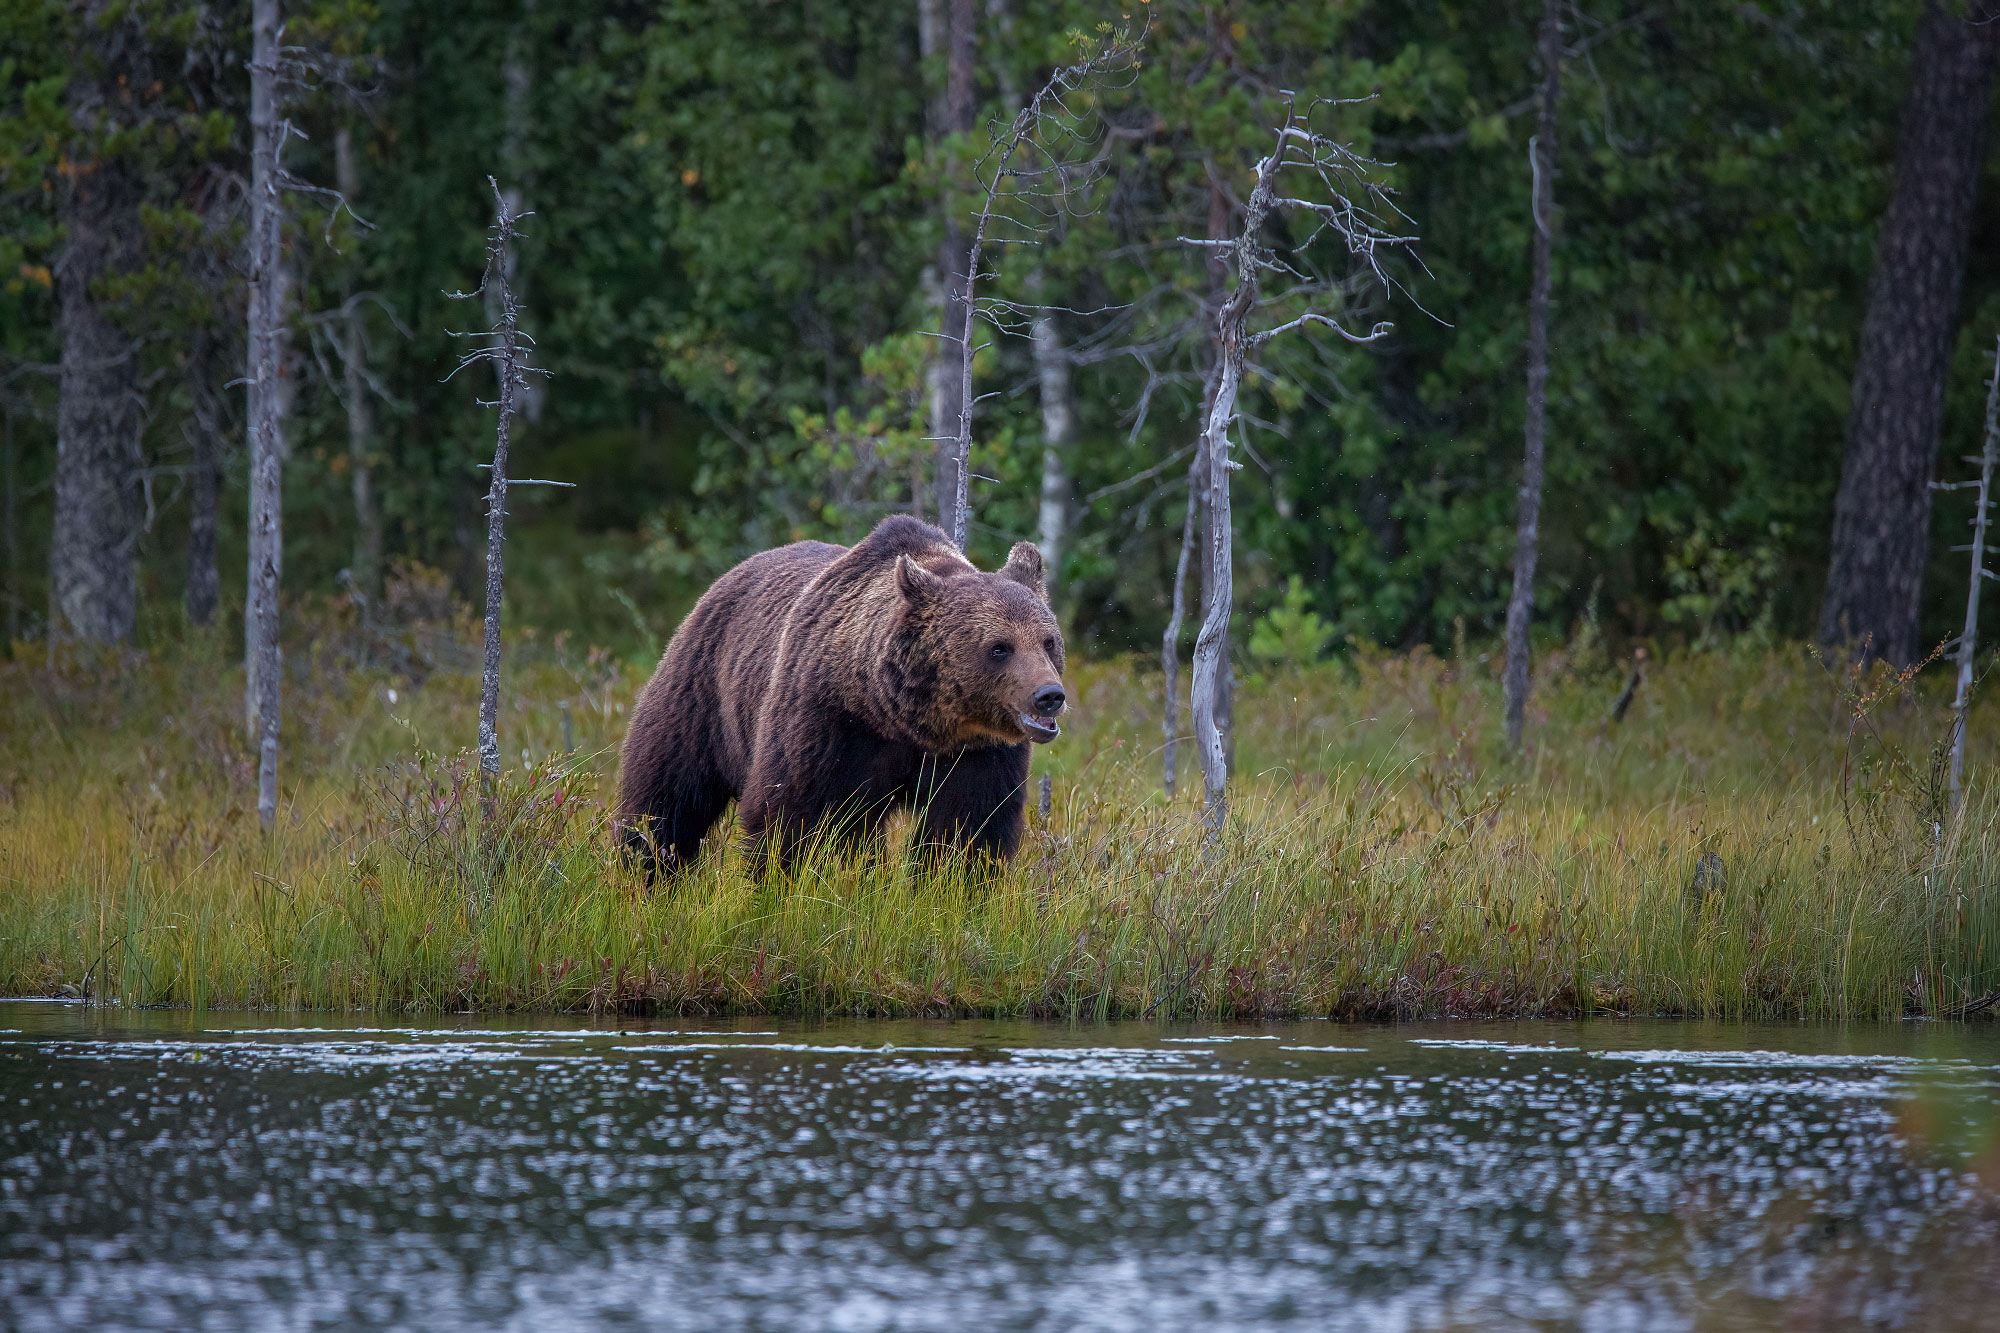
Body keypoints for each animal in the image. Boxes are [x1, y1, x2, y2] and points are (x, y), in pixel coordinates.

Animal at [616, 512, 1072, 876]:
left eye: (1048, 641)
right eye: (999, 647)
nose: (1049, 695)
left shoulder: (979, 753)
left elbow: (968, 828)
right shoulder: (825, 723)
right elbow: (792, 814)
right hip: (701, 696)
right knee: (666, 798)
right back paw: (647, 871)